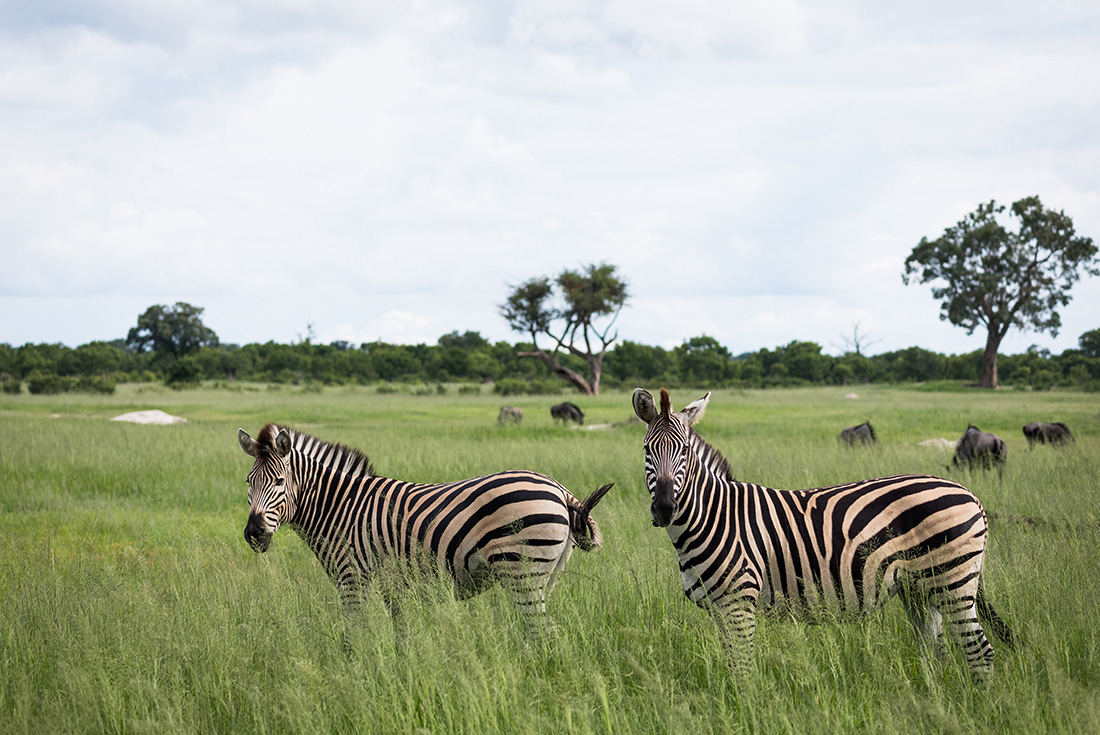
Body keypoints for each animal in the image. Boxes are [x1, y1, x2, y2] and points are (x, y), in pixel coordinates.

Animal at [238, 423, 613, 637]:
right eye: (247, 482)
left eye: (280, 482)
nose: (253, 534)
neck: (339, 507)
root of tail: (559, 488)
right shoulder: (392, 585)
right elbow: (401, 635)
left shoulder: (351, 578)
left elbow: (353, 637)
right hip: (547, 574)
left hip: (523, 570)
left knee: (542, 631)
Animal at [632, 388, 1015, 682]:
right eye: (647, 451)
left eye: (685, 452)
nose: (664, 508)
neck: (713, 518)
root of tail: (970, 494)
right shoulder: (719, 609)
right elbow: (731, 665)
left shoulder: (740, 602)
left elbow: (743, 669)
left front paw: (747, 708)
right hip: (920, 587)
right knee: (936, 650)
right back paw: (937, 701)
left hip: (953, 579)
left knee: (980, 651)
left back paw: (979, 705)